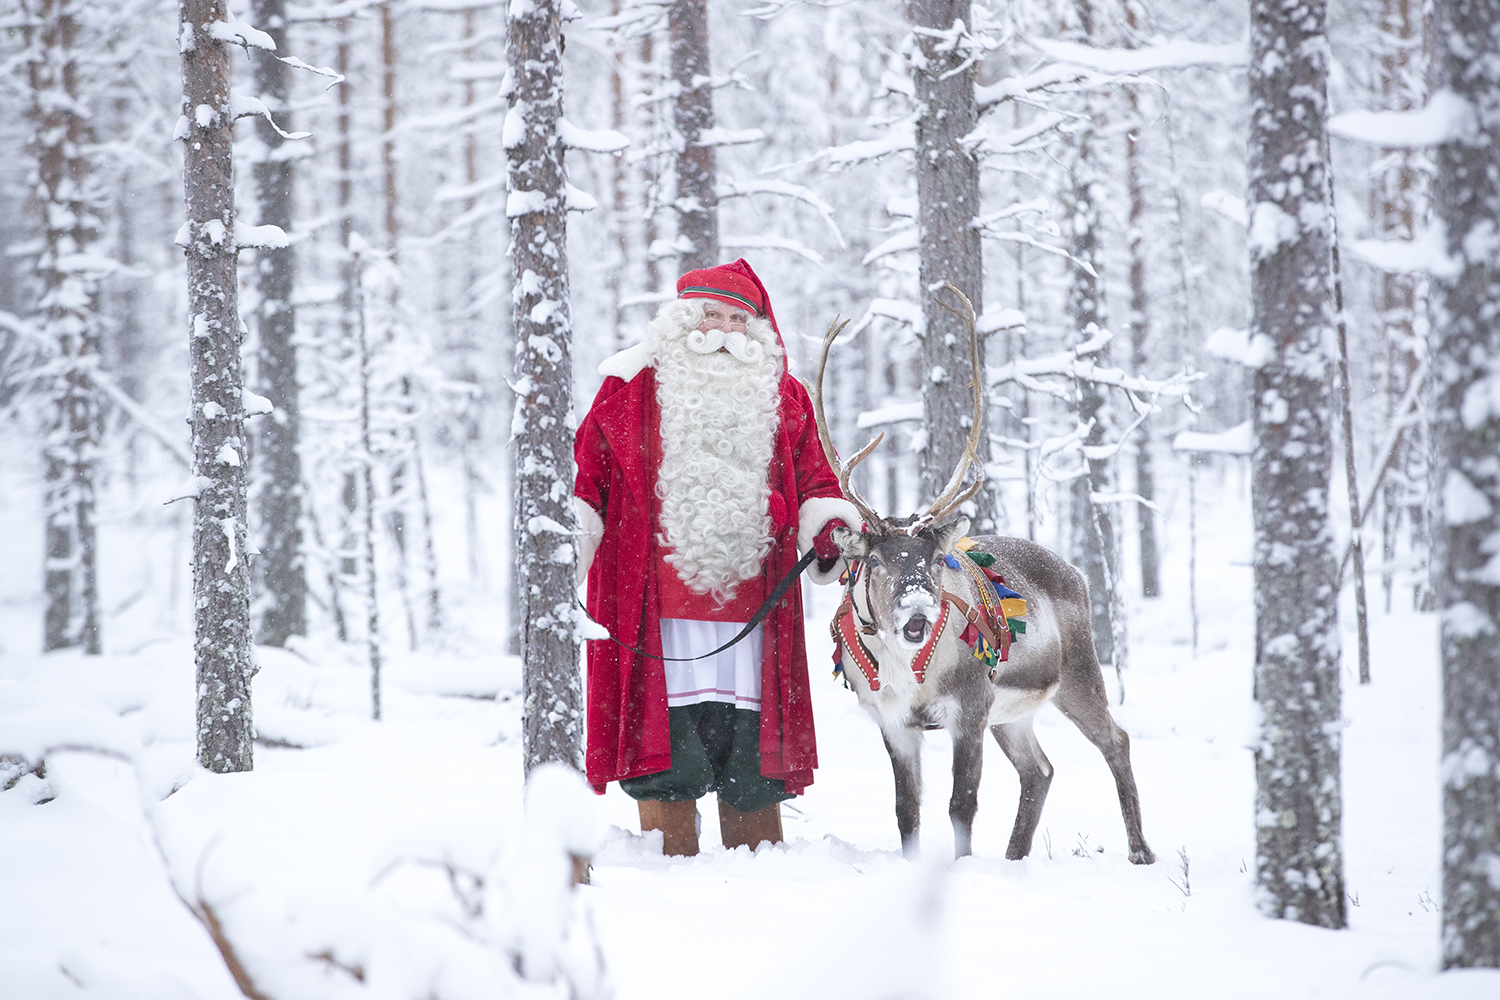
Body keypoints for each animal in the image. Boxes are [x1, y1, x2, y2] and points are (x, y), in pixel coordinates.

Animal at [811, 287, 1155, 865]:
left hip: (1077, 674)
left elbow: (961, 805)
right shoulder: (894, 722)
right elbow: (907, 810)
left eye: (930, 560)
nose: (917, 616)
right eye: (875, 562)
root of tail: (1077, 573)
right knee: (1040, 770)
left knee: (1117, 740)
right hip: (1013, 713)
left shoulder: (970, 708)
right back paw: (1016, 858)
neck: (911, 671)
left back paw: (1140, 852)